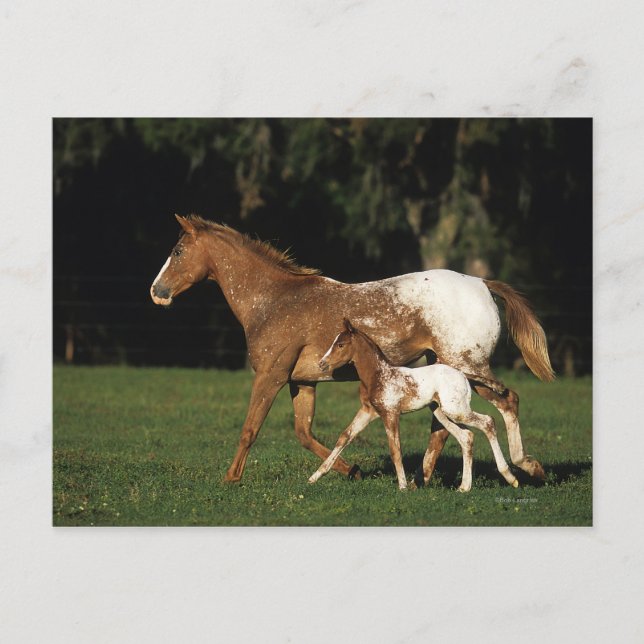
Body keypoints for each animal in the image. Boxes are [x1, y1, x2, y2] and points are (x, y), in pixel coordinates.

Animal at [309, 319, 519, 491]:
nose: (321, 363)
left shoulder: (391, 414)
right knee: (466, 437)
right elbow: (344, 437)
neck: (379, 376)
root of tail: (462, 374)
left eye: (340, 344)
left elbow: (395, 449)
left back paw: (510, 477)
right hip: (442, 412)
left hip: (456, 410)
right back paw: (464, 487)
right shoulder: (368, 412)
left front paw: (402, 486)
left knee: (488, 422)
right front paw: (315, 476)